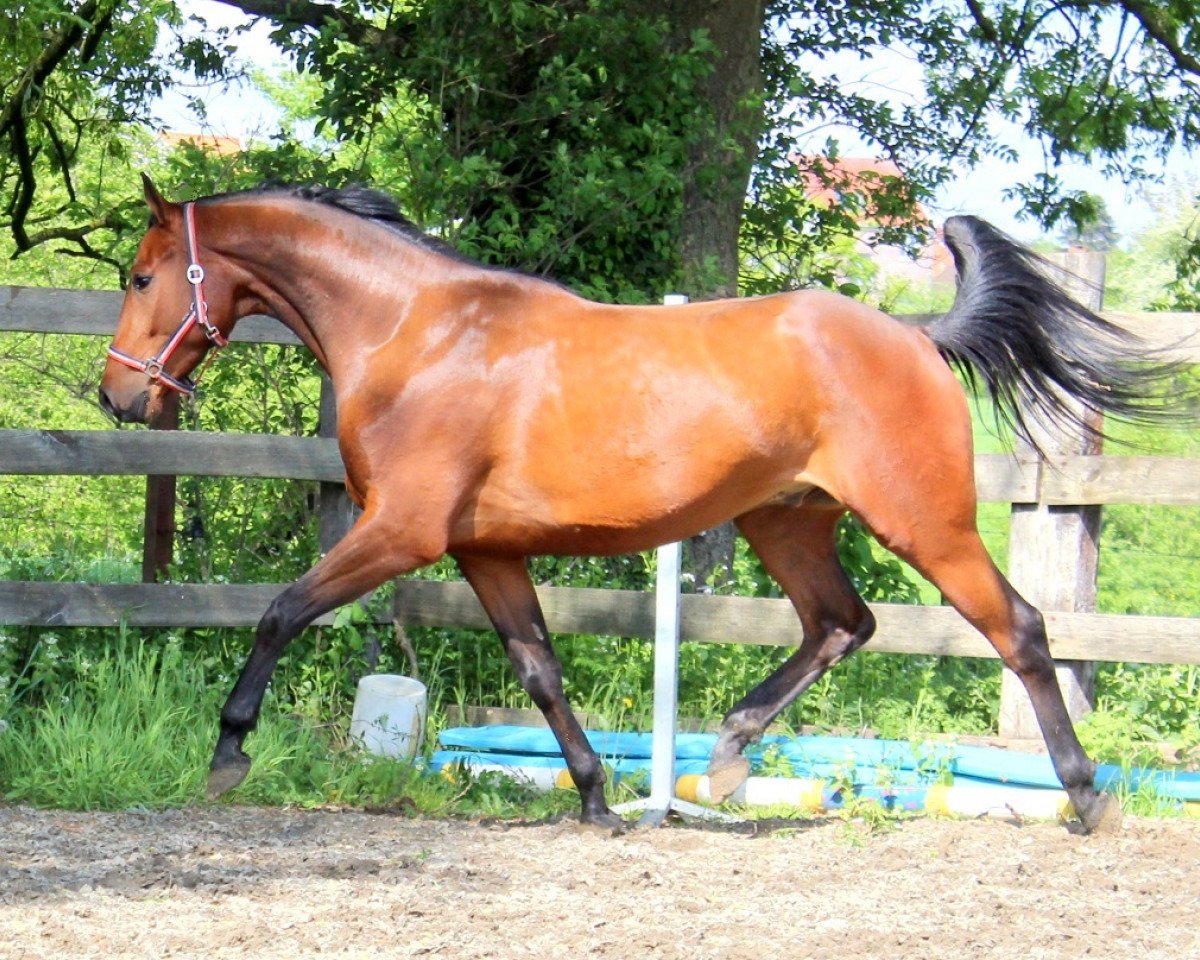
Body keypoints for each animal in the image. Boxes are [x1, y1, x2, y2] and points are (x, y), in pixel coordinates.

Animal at [100, 175, 1175, 833]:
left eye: (143, 275)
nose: (117, 397)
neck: (420, 331)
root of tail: (913, 335)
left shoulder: (400, 532)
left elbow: (281, 611)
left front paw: (227, 753)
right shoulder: (486, 551)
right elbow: (539, 671)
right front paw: (596, 799)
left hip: (925, 524)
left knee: (1021, 630)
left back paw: (1086, 798)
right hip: (785, 520)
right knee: (841, 622)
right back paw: (727, 760)